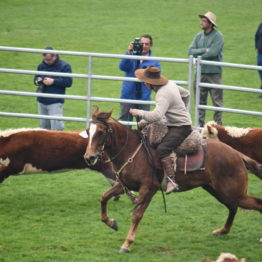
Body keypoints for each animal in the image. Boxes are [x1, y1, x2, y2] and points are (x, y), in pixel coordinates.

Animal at [84, 105, 262, 253]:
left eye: (100, 132)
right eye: (87, 131)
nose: (89, 157)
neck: (132, 150)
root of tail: (236, 154)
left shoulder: (149, 189)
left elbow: (136, 215)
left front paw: (127, 244)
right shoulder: (125, 185)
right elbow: (104, 197)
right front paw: (111, 222)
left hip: (232, 192)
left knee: (254, 204)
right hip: (219, 191)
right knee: (233, 207)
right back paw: (222, 231)